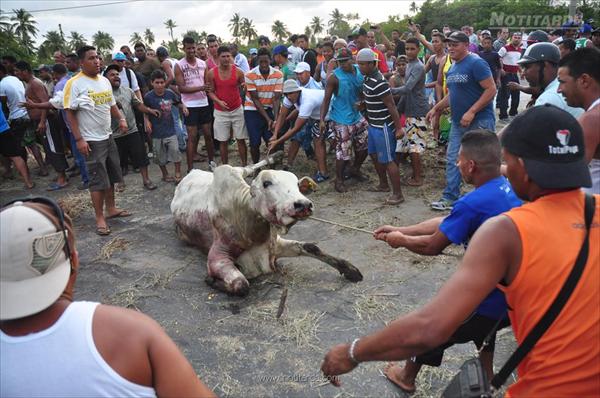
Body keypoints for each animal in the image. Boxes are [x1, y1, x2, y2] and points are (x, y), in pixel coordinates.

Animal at [171, 157, 364, 296]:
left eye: (297, 185)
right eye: (266, 183)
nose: (303, 204)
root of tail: (191, 173)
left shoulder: (274, 245)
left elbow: (312, 247)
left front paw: (350, 269)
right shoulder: (217, 257)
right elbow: (241, 285)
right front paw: (211, 280)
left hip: (237, 169)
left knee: (249, 166)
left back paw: (274, 155)